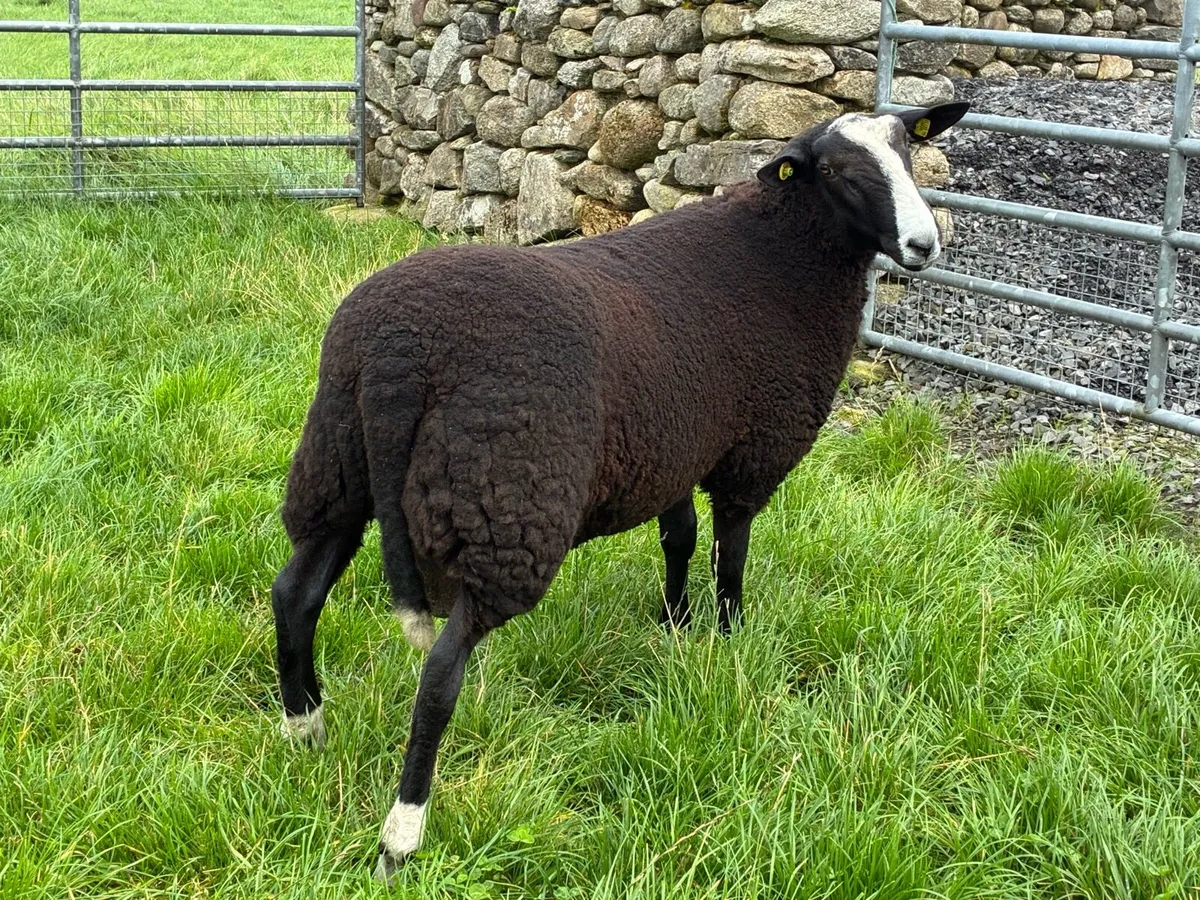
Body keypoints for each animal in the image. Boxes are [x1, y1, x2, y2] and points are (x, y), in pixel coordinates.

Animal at [270, 101, 971, 880]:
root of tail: (397, 352)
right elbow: (731, 553)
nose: (924, 243)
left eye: (908, 152)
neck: (783, 254)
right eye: (841, 173)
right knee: (440, 675)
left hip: (340, 470)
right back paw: (402, 834)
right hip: (506, 503)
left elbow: (679, 538)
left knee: (294, 595)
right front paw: (729, 640)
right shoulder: (750, 451)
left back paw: (306, 732)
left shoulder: (672, 445)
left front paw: (674, 625)